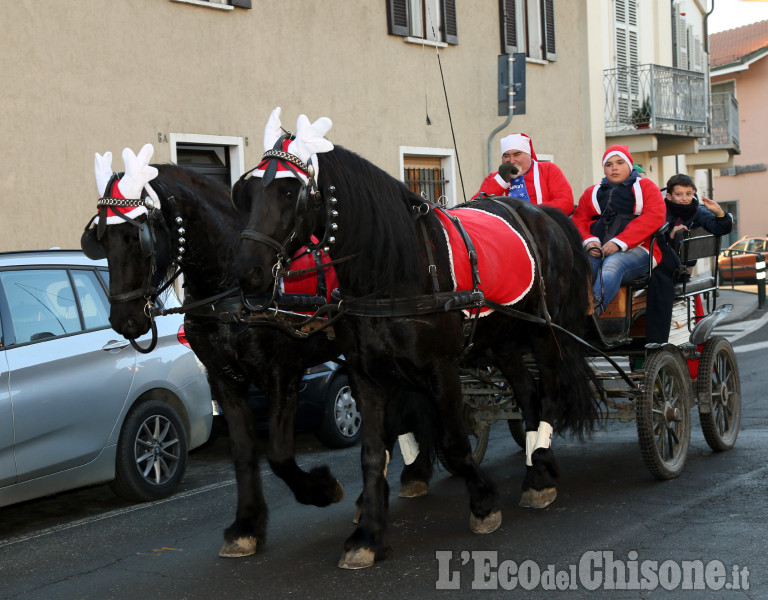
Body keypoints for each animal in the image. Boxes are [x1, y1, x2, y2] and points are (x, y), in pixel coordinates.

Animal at [85, 163, 436, 556]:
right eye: (102, 240)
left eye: (138, 237)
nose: (124, 320)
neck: (229, 290)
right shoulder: (224, 380)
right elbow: (243, 452)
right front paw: (246, 525)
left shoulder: (281, 375)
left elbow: (279, 454)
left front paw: (322, 489)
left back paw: (410, 477)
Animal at [234, 142, 600, 568]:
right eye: (247, 194)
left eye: (290, 192)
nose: (248, 272)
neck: (390, 272)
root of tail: (543, 214)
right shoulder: (366, 376)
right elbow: (372, 454)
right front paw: (368, 533)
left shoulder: (439, 371)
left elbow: (455, 444)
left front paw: (483, 503)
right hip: (502, 337)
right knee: (527, 394)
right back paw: (532, 467)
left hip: (543, 328)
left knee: (551, 392)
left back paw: (540, 471)